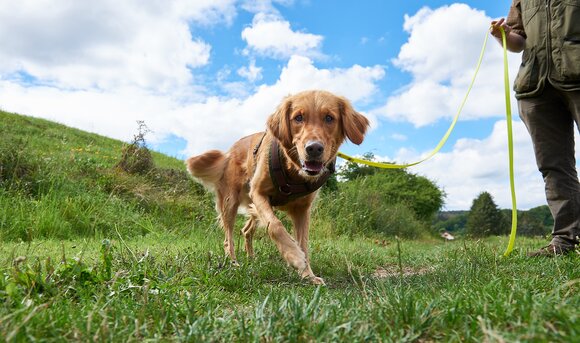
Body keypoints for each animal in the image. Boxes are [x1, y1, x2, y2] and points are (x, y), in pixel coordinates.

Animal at [188, 89, 370, 284]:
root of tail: (229, 151)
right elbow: (275, 226)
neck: (293, 172)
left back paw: (251, 258)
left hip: (253, 208)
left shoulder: (302, 210)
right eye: (298, 117)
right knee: (228, 237)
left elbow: (304, 244)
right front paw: (295, 257)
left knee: (246, 230)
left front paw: (308, 275)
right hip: (231, 201)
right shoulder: (258, 193)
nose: (314, 148)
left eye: (329, 118)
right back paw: (233, 262)